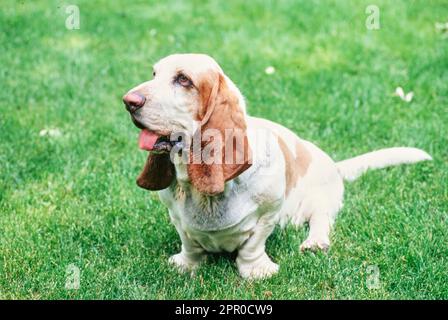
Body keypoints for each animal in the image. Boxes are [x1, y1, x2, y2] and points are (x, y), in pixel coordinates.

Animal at [122, 53, 430, 278]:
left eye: (184, 80)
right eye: (154, 74)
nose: (128, 101)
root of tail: (334, 164)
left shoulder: (267, 214)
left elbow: (253, 246)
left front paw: (256, 271)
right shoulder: (177, 218)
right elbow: (189, 244)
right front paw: (186, 265)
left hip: (322, 200)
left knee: (321, 221)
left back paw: (315, 243)